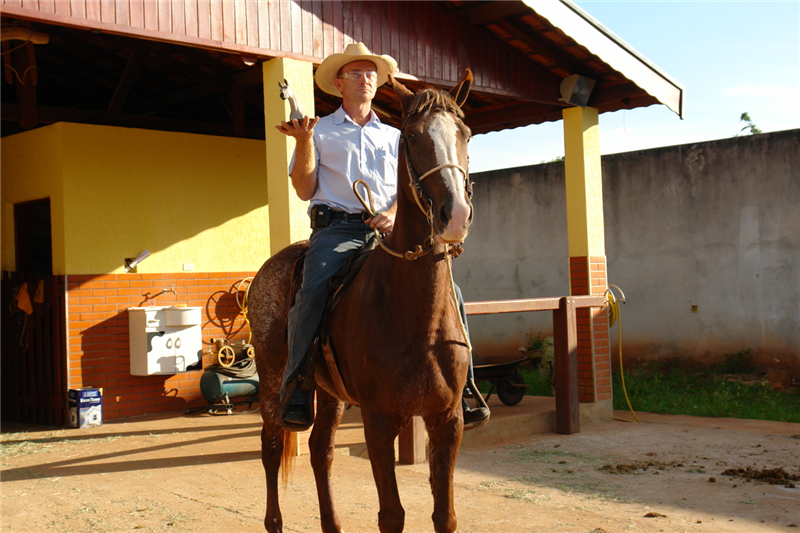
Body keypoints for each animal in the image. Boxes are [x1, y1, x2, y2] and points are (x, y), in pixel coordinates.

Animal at [248, 70, 476, 532]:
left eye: (465, 133)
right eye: (412, 136)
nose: (456, 214)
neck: (415, 315)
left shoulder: (448, 420)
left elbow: (444, 515)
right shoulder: (378, 420)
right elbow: (392, 515)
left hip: (328, 392)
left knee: (320, 450)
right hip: (272, 378)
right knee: (272, 445)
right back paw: (275, 521)